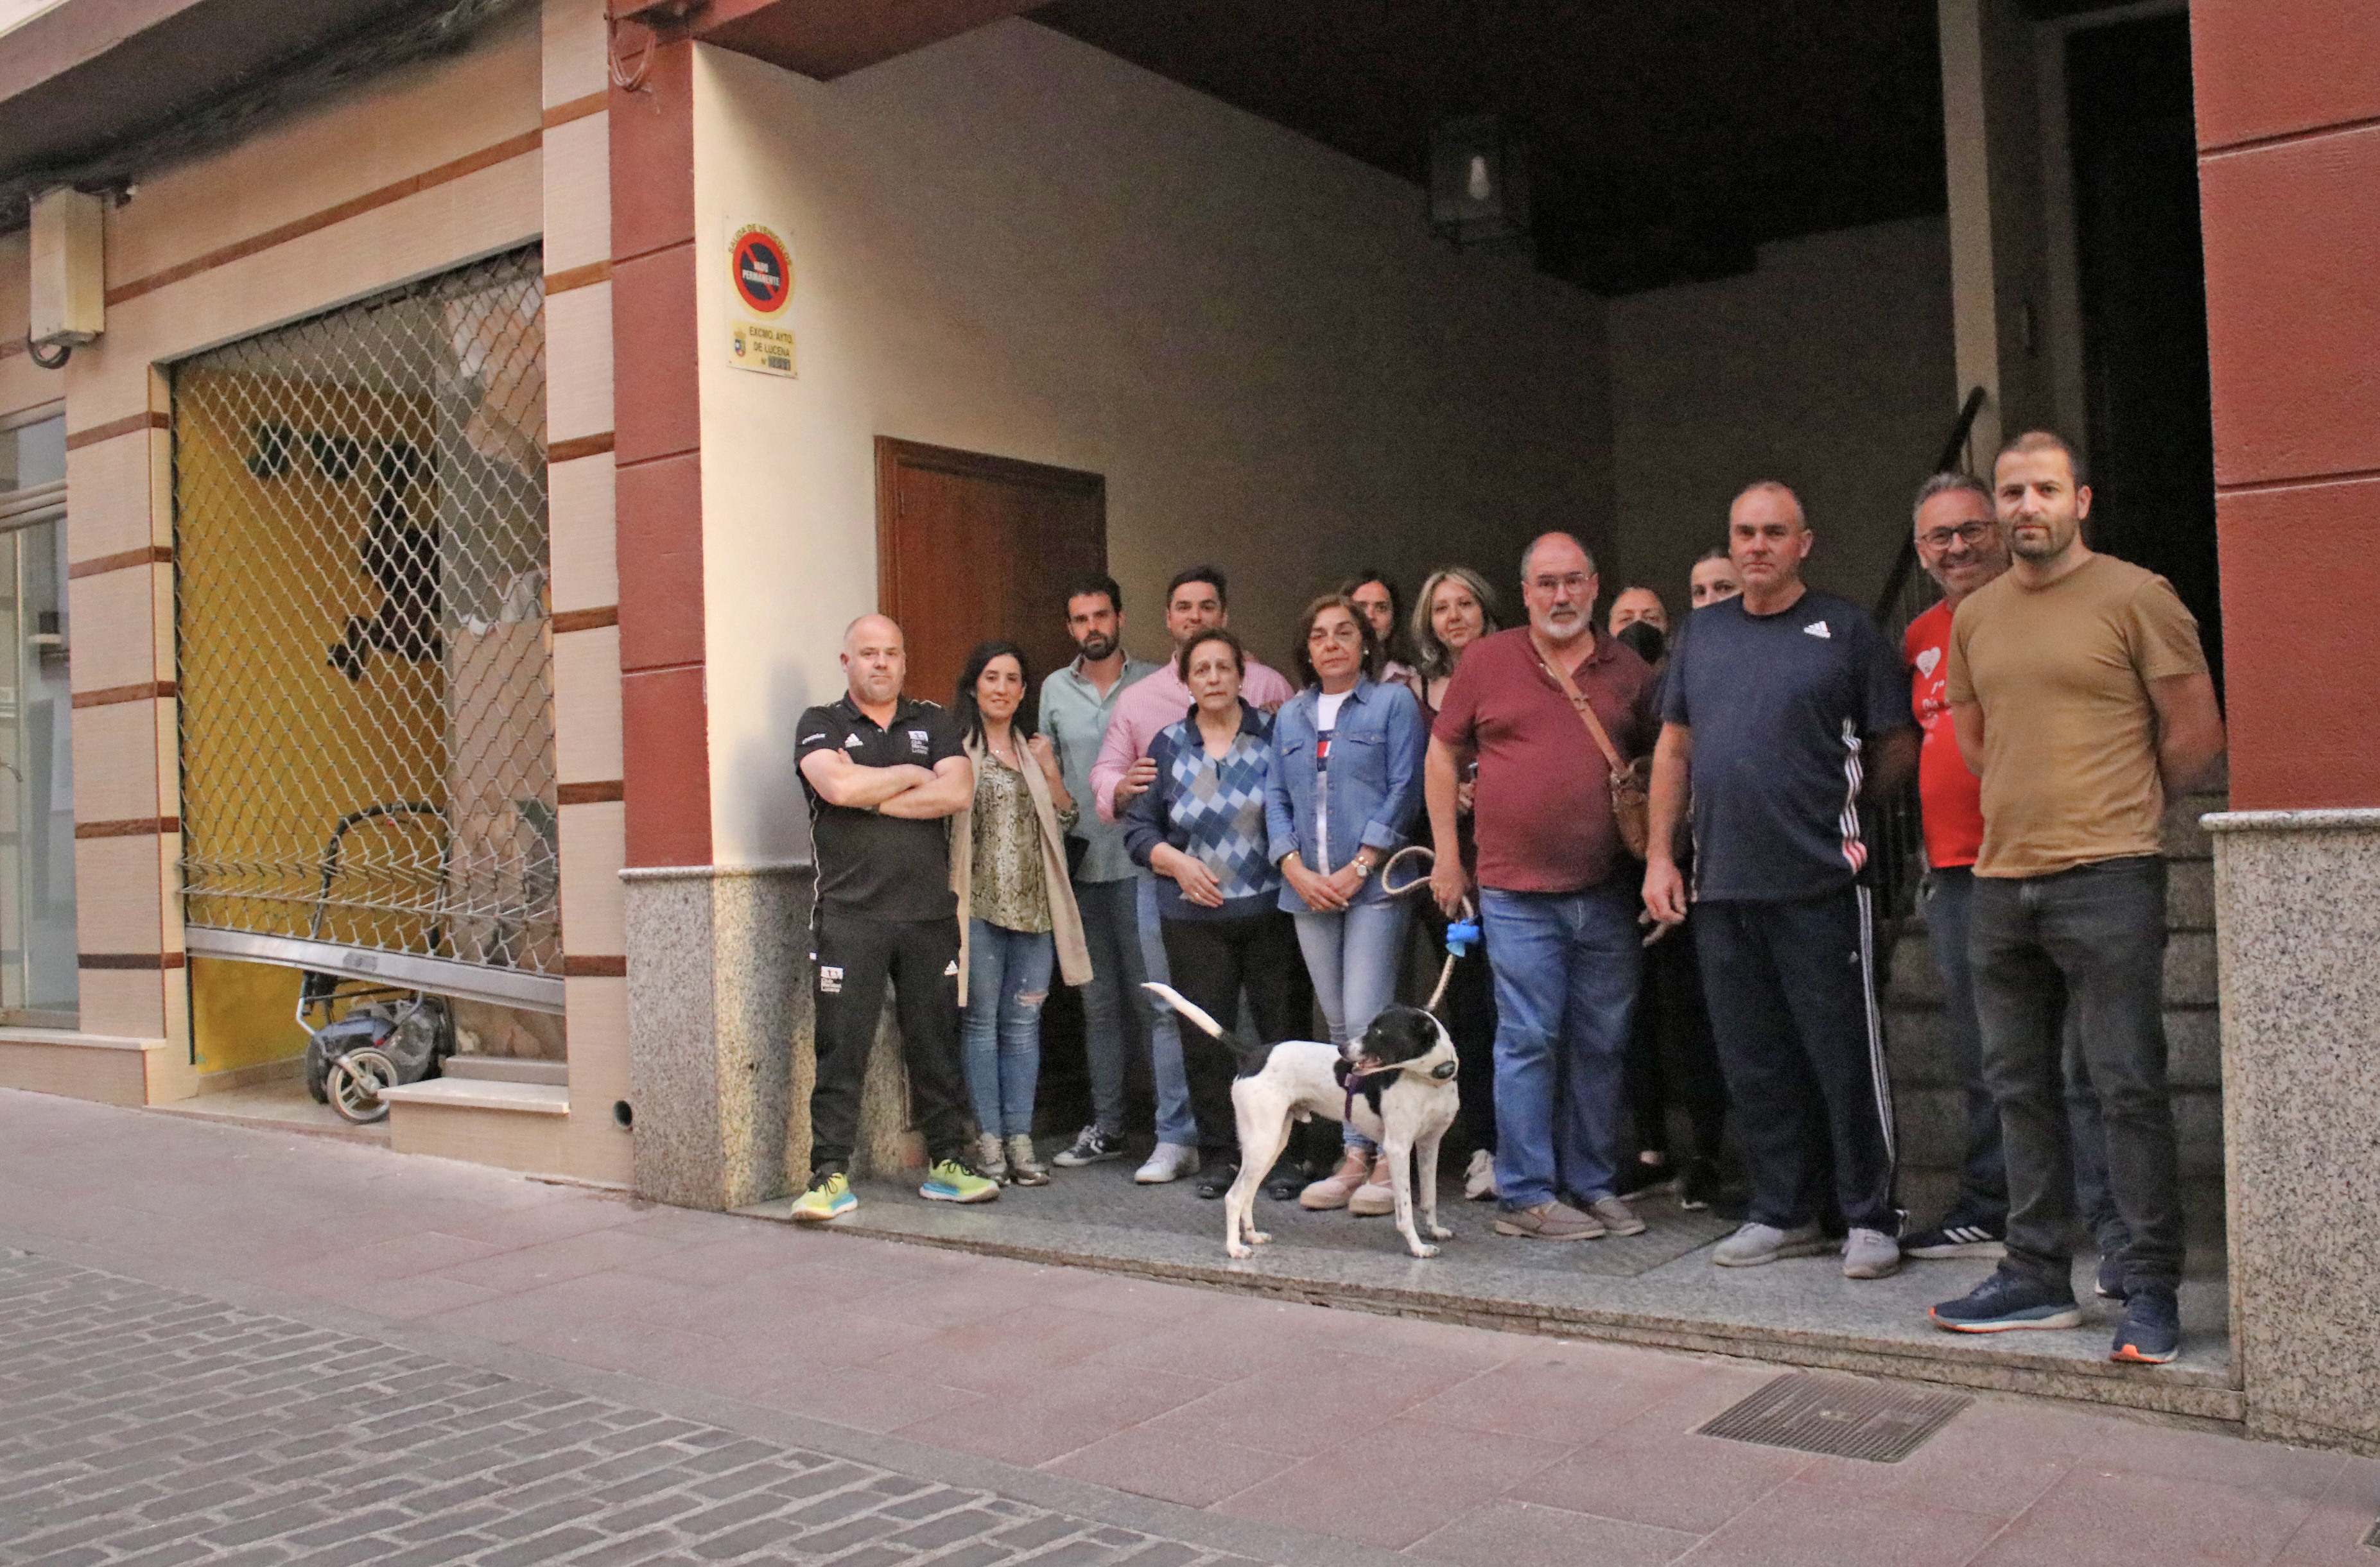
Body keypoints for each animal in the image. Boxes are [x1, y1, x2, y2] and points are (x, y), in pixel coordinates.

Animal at [1142, 976, 1456, 1257]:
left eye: (1379, 1033)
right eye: (1370, 1028)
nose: (1342, 1050)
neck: (1429, 1082)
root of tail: (1253, 1054)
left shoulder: (1429, 1145)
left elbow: (1429, 1197)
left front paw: (1434, 1231)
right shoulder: (1398, 1148)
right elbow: (1405, 1207)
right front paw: (1417, 1247)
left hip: (1271, 1143)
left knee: (1248, 1193)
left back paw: (1252, 1235)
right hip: (1264, 1142)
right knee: (1234, 1196)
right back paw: (1235, 1249)